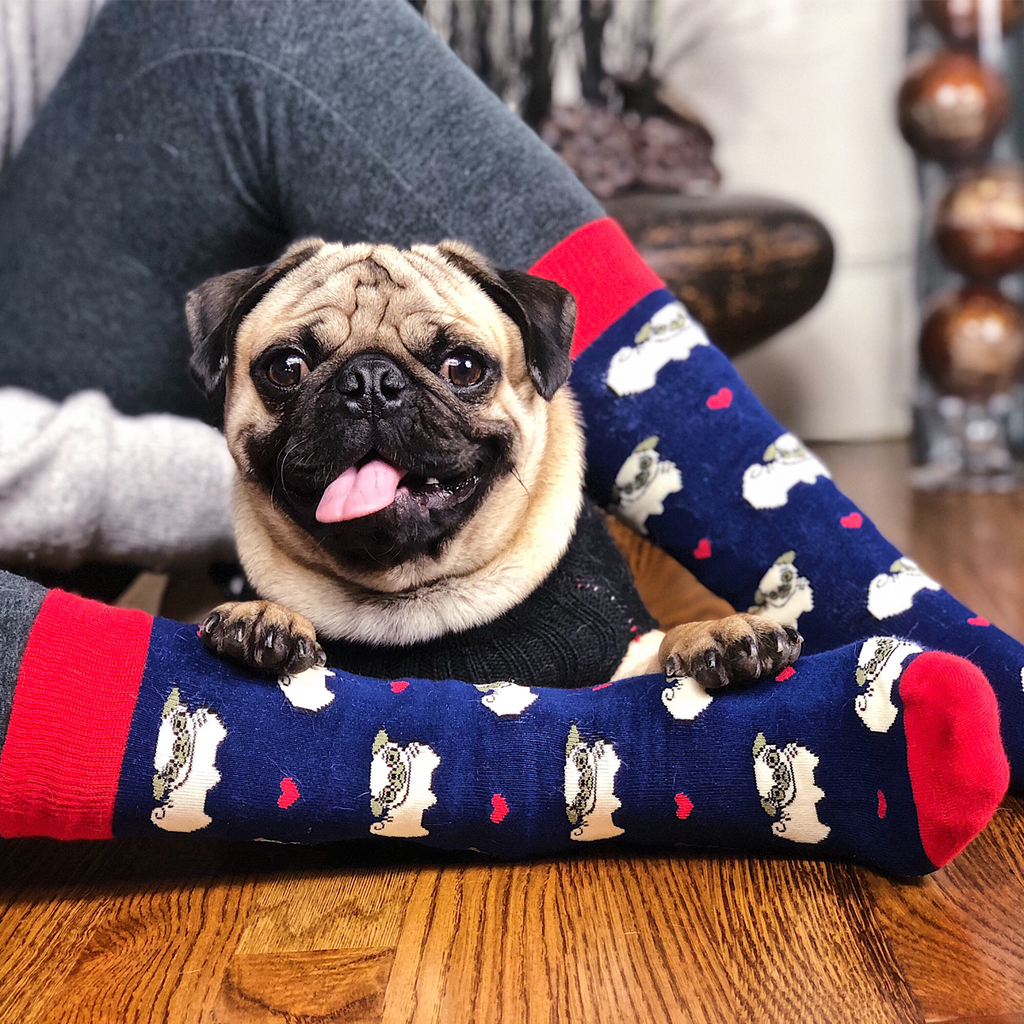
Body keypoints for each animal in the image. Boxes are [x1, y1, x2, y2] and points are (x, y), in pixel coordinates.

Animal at [190, 235, 798, 692]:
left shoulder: (620, 662)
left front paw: (714, 635)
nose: (370, 382)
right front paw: (262, 618)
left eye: (462, 367)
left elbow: (661, 647)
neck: (411, 597)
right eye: (287, 368)